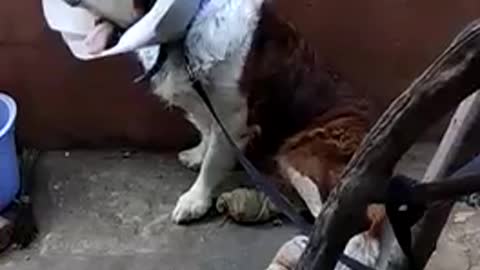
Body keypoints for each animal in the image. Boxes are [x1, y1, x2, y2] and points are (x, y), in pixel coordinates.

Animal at [41, 0, 386, 266]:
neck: (183, 34)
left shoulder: (232, 120)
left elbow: (214, 161)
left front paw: (195, 200)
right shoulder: (203, 105)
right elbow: (206, 135)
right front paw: (196, 154)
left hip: (302, 154)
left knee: (346, 218)